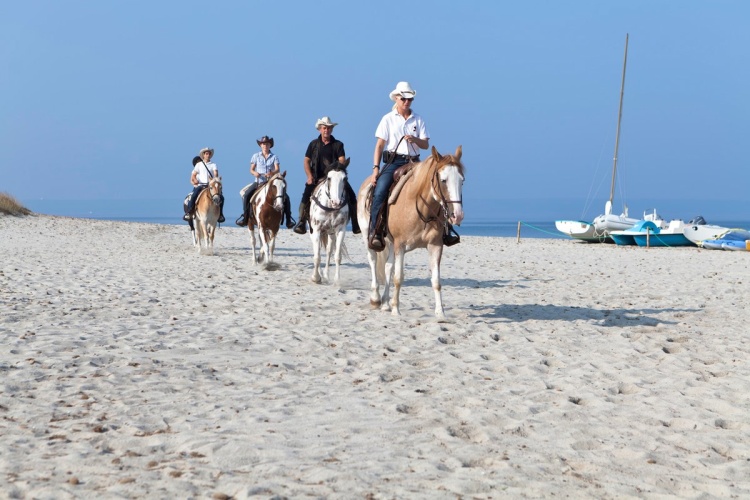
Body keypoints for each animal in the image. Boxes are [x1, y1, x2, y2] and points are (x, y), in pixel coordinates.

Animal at [356, 146, 465, 319]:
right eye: (443, 180)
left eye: (462, 180)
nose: (458, 215)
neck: (421, 208)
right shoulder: (400, 245)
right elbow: (398, 277)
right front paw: (396, 310)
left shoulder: (435, 246)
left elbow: (436, 280)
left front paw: (440, 313)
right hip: (369, 236)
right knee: (373, 261)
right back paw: (375, 299)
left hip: (390, 242)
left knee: (388, 267)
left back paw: (385, 303)